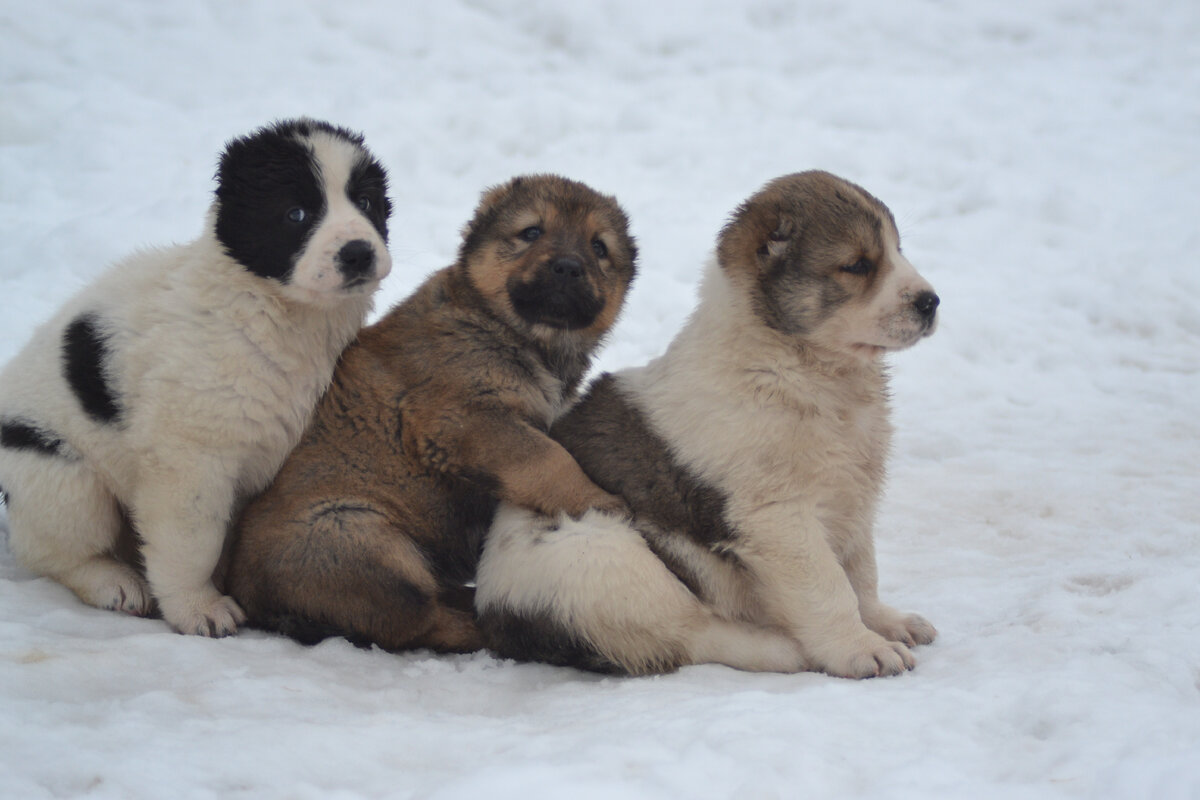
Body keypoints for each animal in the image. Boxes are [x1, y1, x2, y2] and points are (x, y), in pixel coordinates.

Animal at [0, 117, 391, 638]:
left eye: (366, 203)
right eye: (296, 214)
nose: (358, 253)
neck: (267, 307)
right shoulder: (191, 457)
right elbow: (193, 540)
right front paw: (198, 608)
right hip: (60, 476)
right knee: (54, 549)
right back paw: (114, 584)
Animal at [225, 172, 638, 652]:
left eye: (598, 248)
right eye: (532, 232)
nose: (569, 267)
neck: (510, 330)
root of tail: (250, 594)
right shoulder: (465, 417)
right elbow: (549, 460)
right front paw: (600, 502)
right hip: (363, 543)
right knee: (414, 619)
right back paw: (479, 625)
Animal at [475, 172, 936, 681]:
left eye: (897, 251)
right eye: (857, 265)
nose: (930, 302)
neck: (793, 367)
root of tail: (491, 611)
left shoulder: (853, 496)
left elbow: (860, 570)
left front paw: (885, 622)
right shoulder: (777, 516)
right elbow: (828, 586)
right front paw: (861, 649)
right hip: (601, 554)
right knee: (688, 632)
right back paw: (781, 647)